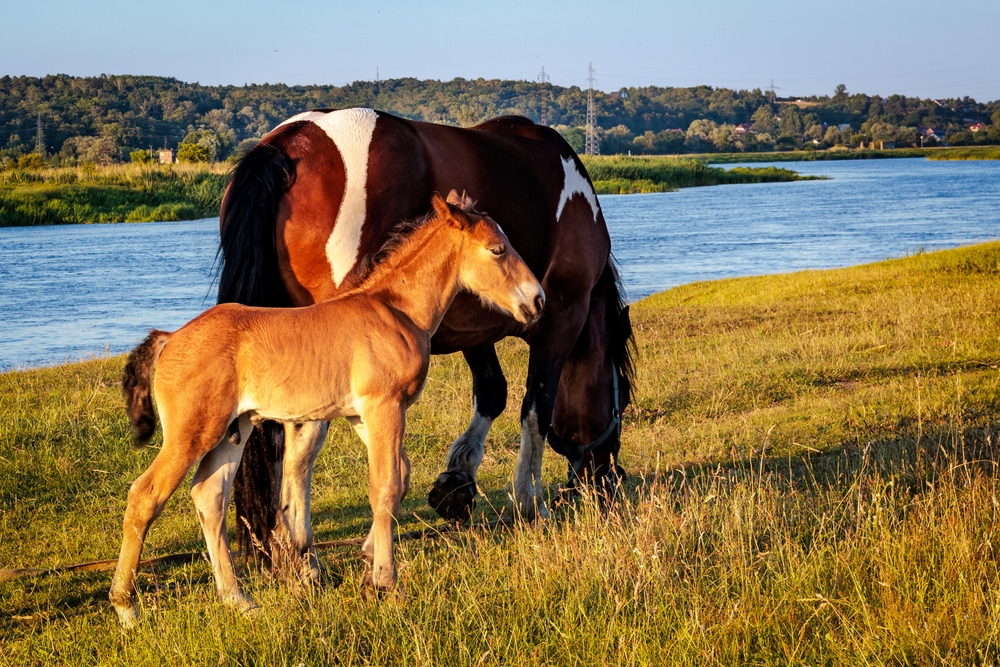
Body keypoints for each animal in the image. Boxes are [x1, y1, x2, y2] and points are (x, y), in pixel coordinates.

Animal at [109, 192, 544, 628]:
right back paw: (126, 607)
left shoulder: (360, 415)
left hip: (235, 429)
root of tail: (169, 339)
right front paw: (386, 582)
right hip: (193, 432)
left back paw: (238, 599)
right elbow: (385, 486)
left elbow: (399, 478)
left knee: (210, 495)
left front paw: (369, 562)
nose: (537, 300)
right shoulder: (383, 406)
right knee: (145, 496)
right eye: (497, 249)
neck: (396, 309)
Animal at [219, 107, 632, 568]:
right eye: (622, 401)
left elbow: (492, 392)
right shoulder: (562, 320)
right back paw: (305, 557)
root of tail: (288, 145)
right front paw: (529, 500)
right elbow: (535, 408)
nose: (608, 479)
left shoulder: (475, 324)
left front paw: (456, 482)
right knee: (302, 442)